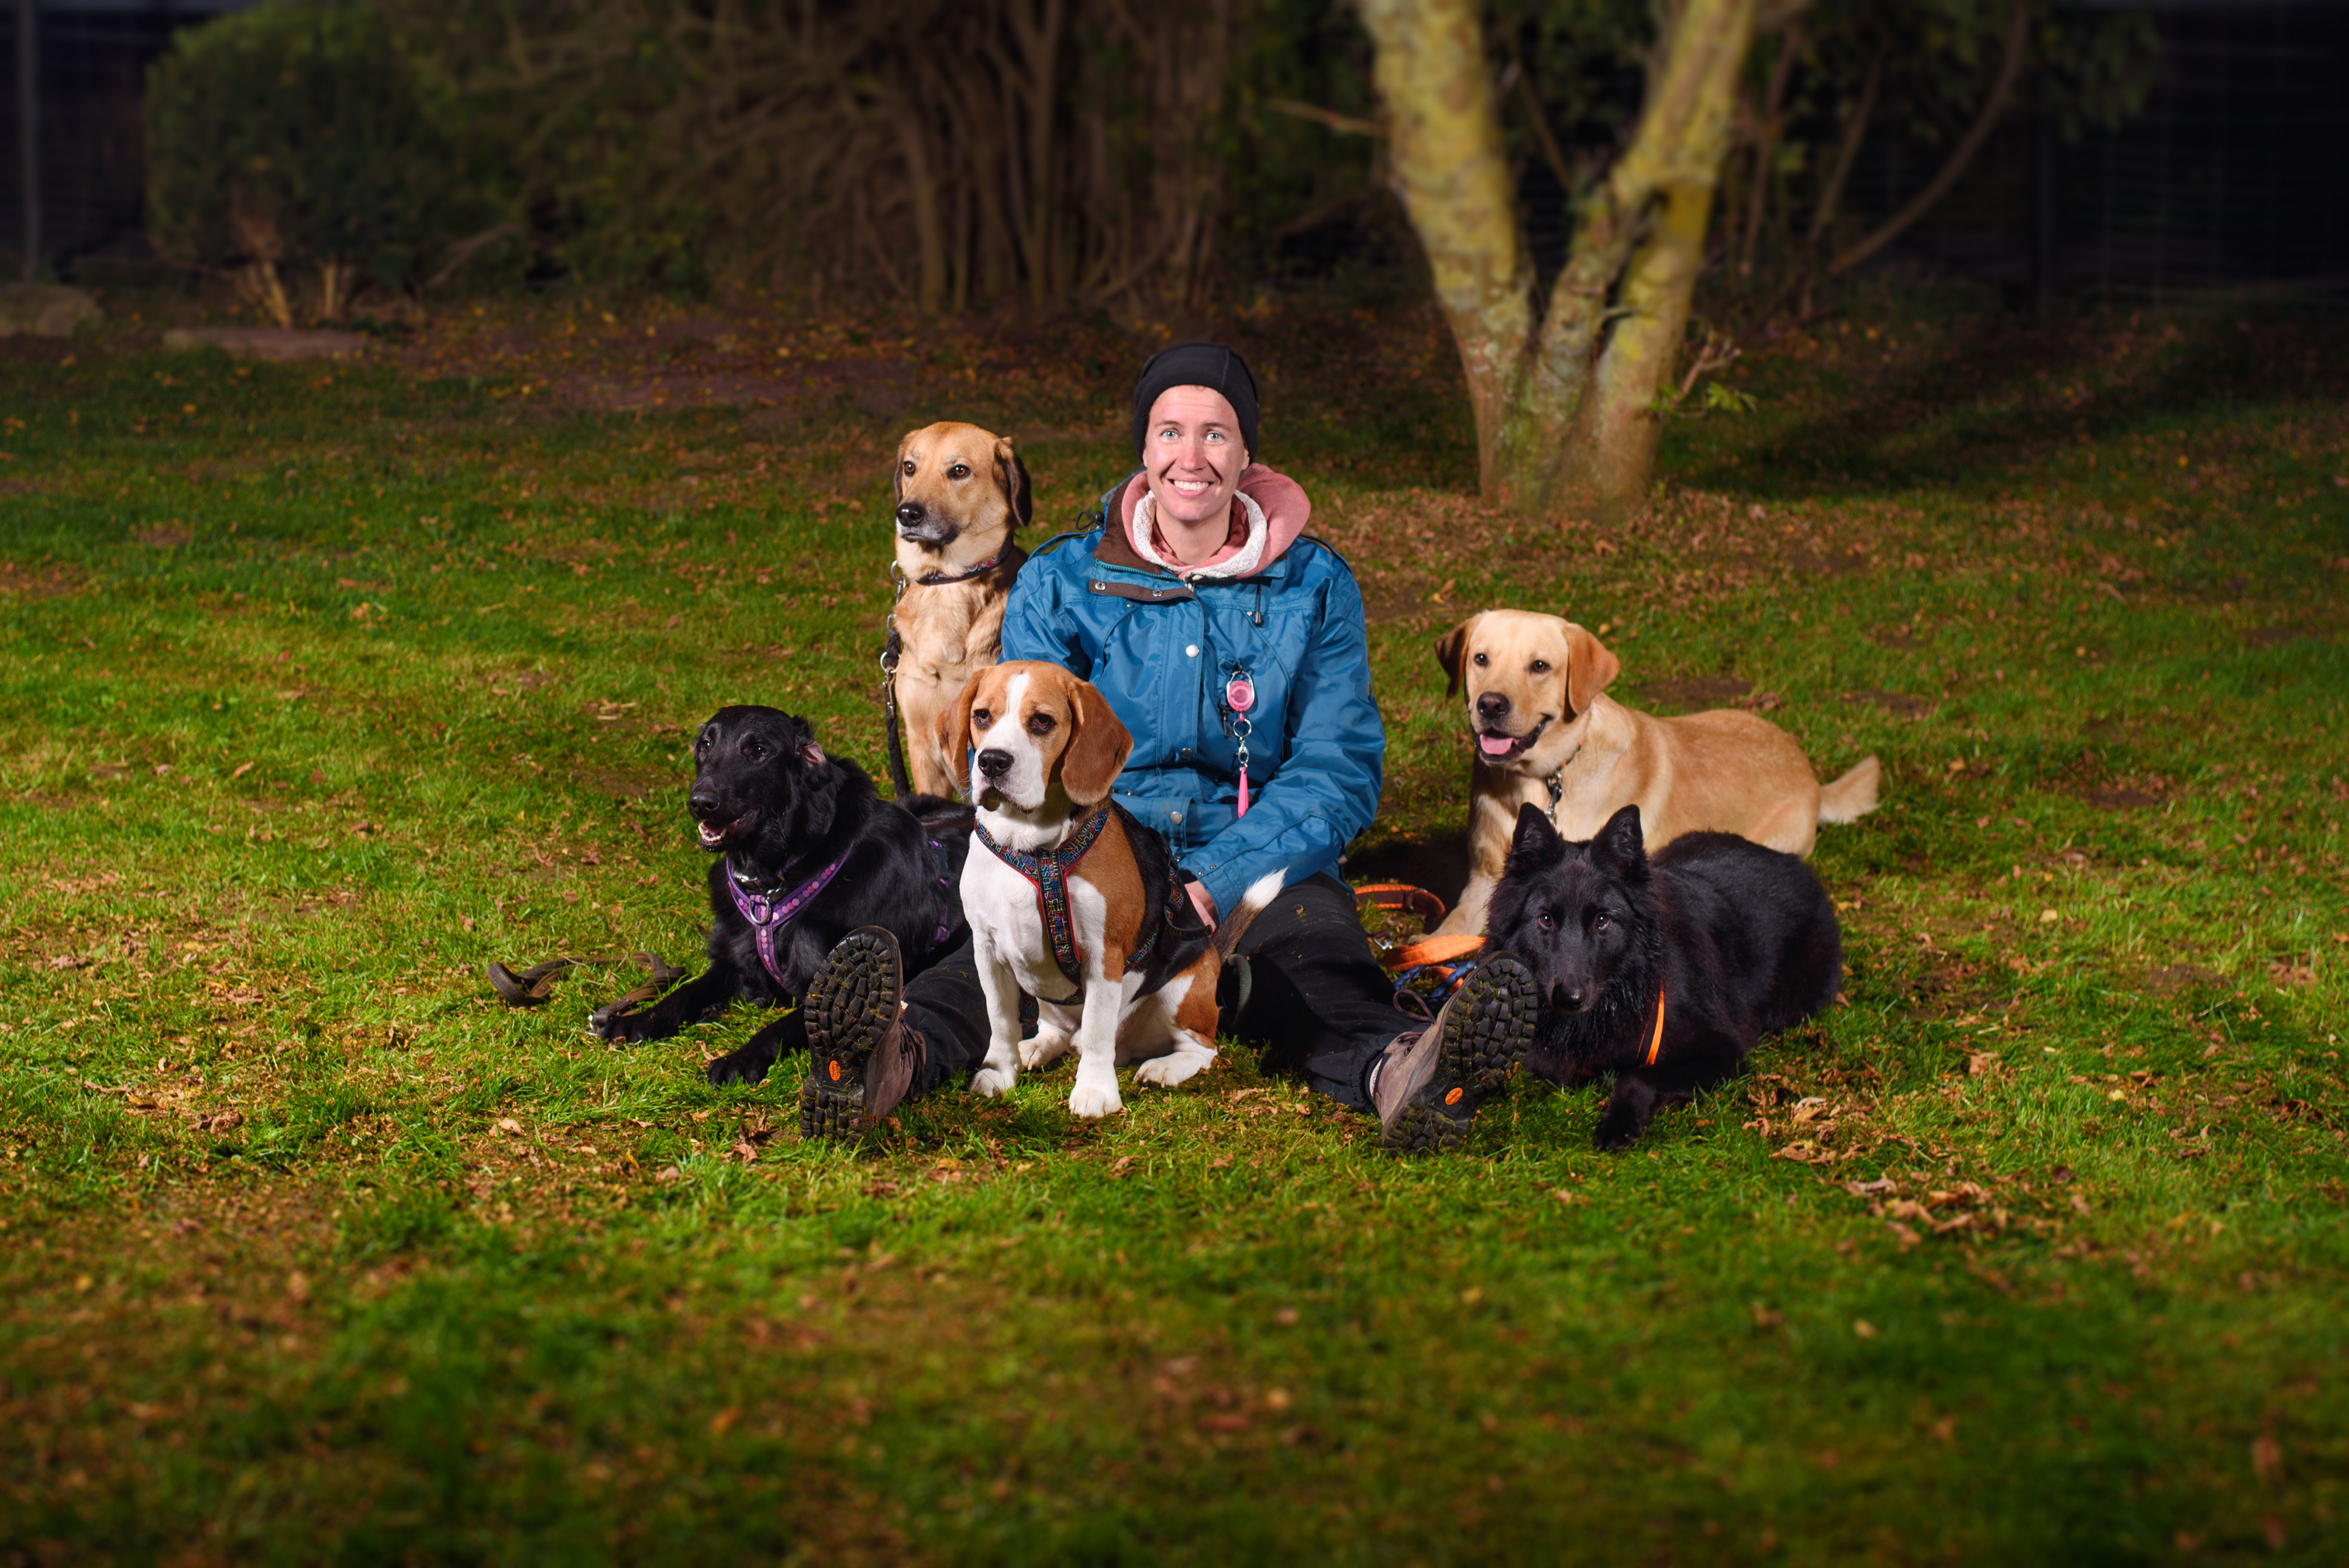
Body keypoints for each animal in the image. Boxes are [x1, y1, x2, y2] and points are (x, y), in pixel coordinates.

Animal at [591, 705, 973, 1087]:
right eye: (705, 745)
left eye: (759, 751)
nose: (700, 803)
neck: (774, 885)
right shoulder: (733, 962)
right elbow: (686, 992)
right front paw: (639, 1020)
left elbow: (780, 1028)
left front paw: (740, 1058)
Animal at [941, 661, 1284, 1119]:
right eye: (982, 716)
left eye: (1042, 722)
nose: (993, 762)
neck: (1031, 846)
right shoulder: (988, 951)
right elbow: (1000, 1020)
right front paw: (999, 1072)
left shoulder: (1104, 955)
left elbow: (1097, 1032)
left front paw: (1095, 1091)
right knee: (1059, 1031)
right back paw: (1038, 1047)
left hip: (1181, 993)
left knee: (1202, 1049)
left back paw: (1165, 1068)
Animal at [1432, 609, 1879, 935]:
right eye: (1481, 659)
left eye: (1540, 666)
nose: (1491, 704)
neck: (1546, 778)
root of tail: (1811, 775)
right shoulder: (1485, 880)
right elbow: (1450, 932)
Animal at [1486, 802, 1842, 1149]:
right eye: (1546, 919)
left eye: (1602, 920)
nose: (1569, 998)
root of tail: (1797, 866)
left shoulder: (1724, 1052)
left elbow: (1637, 1075)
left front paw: (1618, 1122)